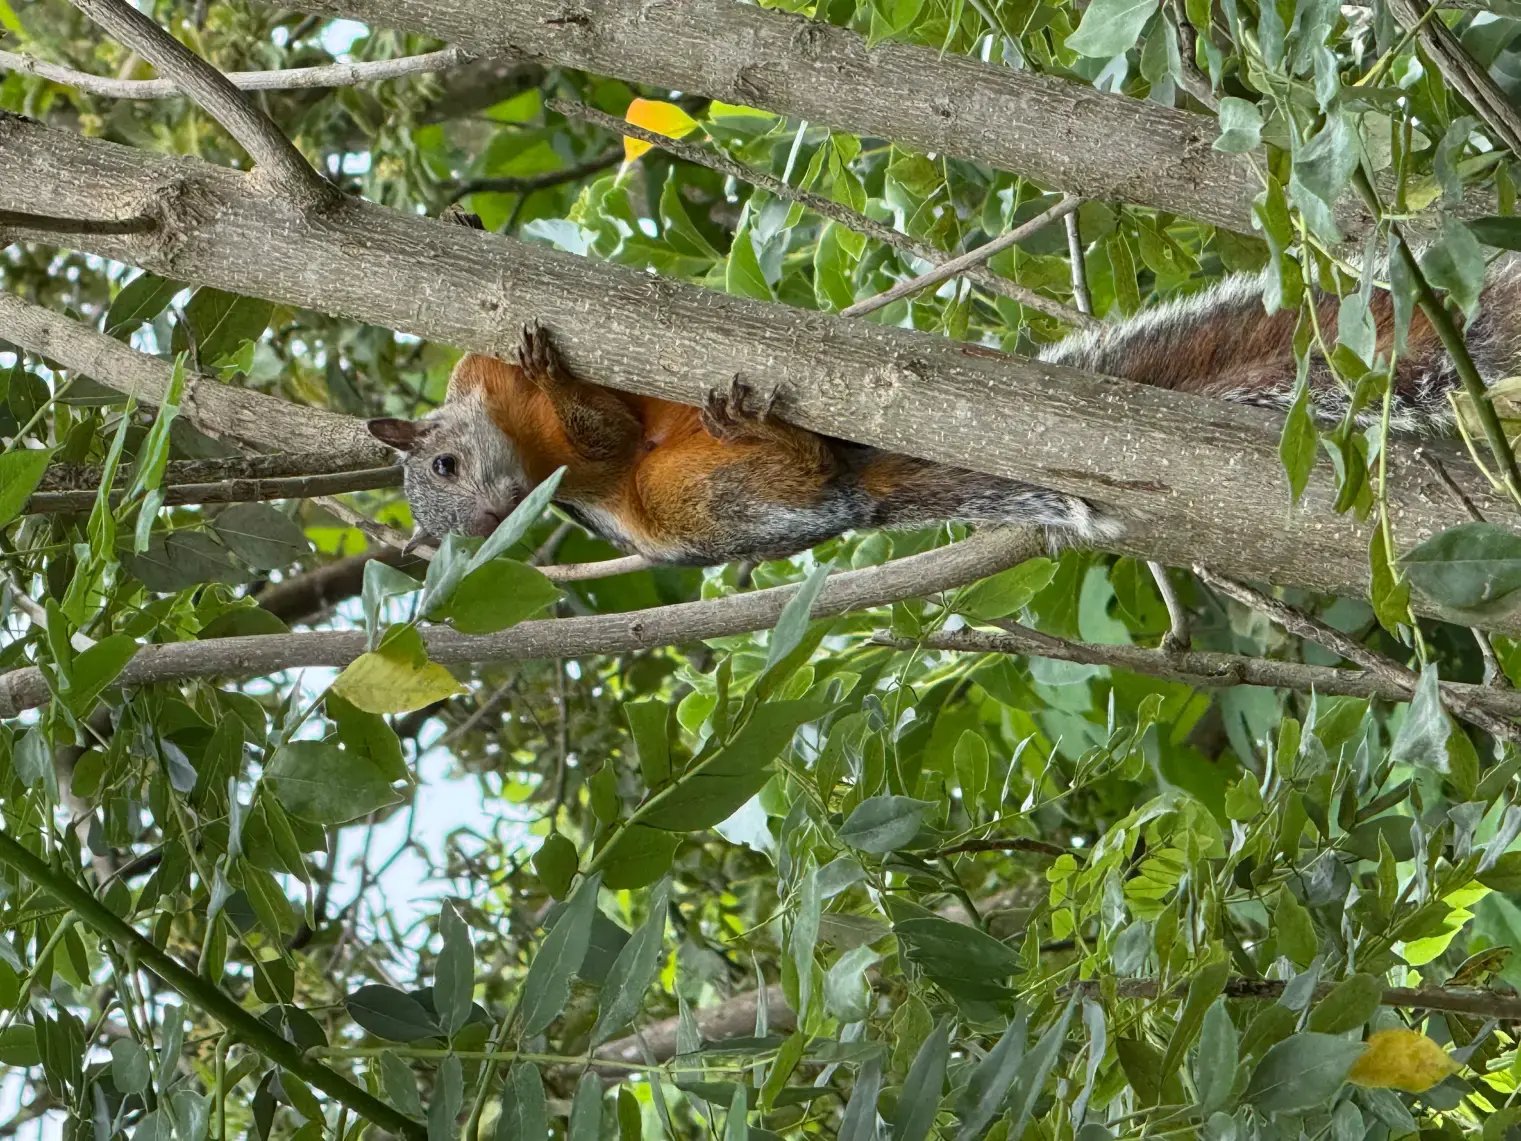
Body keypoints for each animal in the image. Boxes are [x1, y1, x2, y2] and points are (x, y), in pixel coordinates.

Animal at [368, 217, 1521, 566]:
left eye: (444, 464)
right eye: (452, 506)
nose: (496, 517)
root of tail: (857, 488)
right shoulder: (588, 471)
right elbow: (600, 435)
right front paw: (555, 375)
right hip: (710, 505)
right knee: (789, 477)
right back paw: (770, 434)